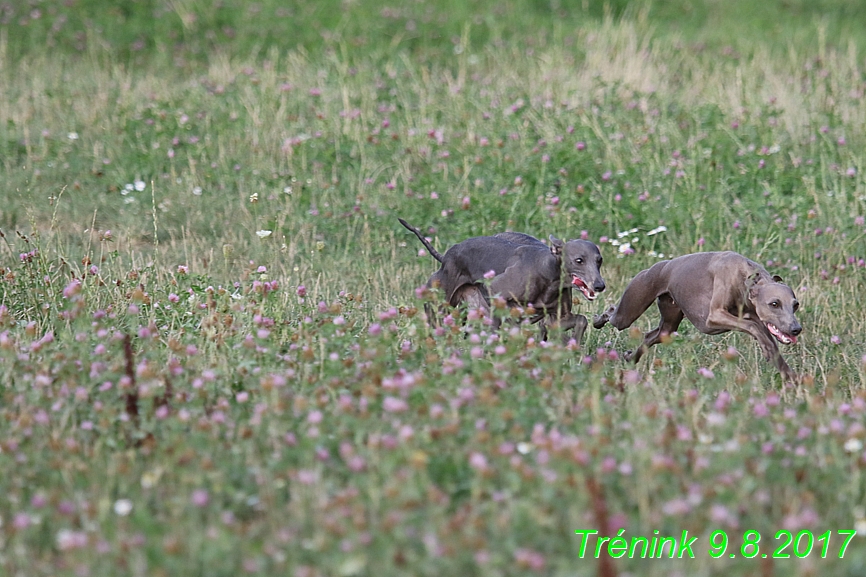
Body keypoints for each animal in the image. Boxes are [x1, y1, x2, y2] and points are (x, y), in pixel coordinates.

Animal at [398, 217, 600, 342]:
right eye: (579, 260)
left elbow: (580, 320)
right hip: (441, 306)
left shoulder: (556, 318)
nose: (600, 285)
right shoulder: (498, 296)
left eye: (600, 260)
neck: (547, 270)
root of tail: (446, 256)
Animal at [592, 250, 800, 380]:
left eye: (796, 305)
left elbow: (767, 338)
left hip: (668, 324)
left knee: (651, 335)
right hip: (630, 309)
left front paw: (790, 377)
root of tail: (661, 266)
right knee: (613, 313)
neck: (747, 276)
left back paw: (630, 357)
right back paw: (598, 320)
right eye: (774, 304)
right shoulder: (714, 317)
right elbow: (753, 327)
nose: (796, 329)